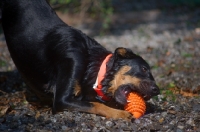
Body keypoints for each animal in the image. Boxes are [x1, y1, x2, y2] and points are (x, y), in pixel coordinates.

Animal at [0, 0, 159, 120]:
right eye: (144, 69)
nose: (157, 90)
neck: (93, 65)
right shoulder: (62, 99)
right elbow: (96, 104)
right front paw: (120, 113)